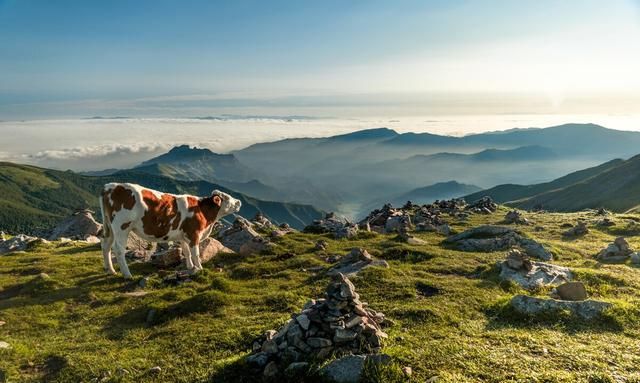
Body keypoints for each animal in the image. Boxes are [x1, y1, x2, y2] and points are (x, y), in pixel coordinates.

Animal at [99, 183, 241, 280]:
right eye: (227, 197)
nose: (239, 201)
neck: (203, 212)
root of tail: (109, 187)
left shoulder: (183, 235)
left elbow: (186, 252)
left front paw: (190, 267)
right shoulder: (194, 234)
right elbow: (195, 253)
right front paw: (200, 268)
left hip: (110, 227)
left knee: (106, 245)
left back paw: (110, 270)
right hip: (121, 227)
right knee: (118, 249)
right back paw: (127, 274)